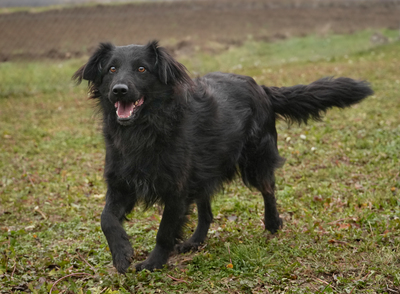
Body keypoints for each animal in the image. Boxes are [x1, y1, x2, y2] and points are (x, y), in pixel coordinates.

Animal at [73, 40, 374, 272]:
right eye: (111, 69)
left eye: (142, 69)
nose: (119, 90)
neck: (145, 128)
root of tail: (262, 88)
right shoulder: (121, 183)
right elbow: (106, 218)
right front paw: (121, 252)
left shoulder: (176, 190)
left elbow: (164, 232)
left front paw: (153, 263)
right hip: (205, 168)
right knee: (206, 212)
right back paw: (195, 241)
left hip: (254, 161)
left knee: (269, 190)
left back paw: (272, 223)